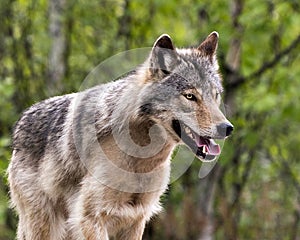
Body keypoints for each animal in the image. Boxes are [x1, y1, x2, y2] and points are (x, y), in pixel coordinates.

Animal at [6, 31, 232, 240]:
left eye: (215, 95)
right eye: (190, 96)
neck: (140, 162)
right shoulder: (91, 218)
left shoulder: (136, 219)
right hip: (46, 227)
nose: (227, 128)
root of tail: (21, 121)